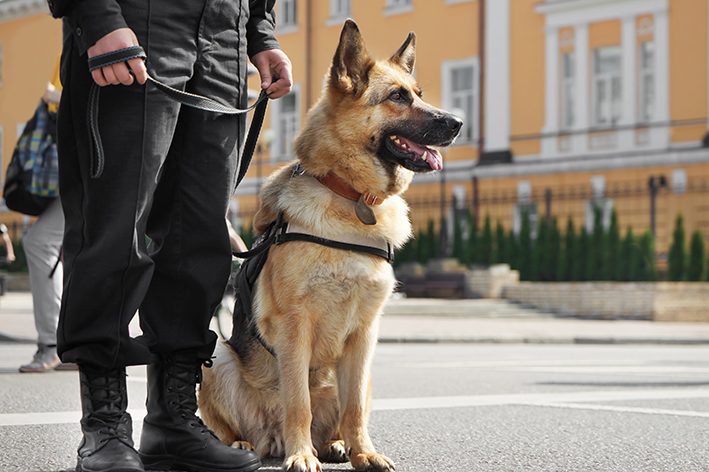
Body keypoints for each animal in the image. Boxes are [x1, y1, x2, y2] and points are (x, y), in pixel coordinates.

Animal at [199, 19, 462, 472]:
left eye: (418, 93)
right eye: (397, 97)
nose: (459, 122)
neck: (352, 198)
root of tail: (269, 439)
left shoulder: (365, 335)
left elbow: (353, 406)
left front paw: (364, 452)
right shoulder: (295, 326)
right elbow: (297, 402)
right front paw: (301, 455)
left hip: (368, 372)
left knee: (342, 412)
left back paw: (337, 445)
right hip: (216, 358)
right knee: (232, 424)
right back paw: (243, 445)